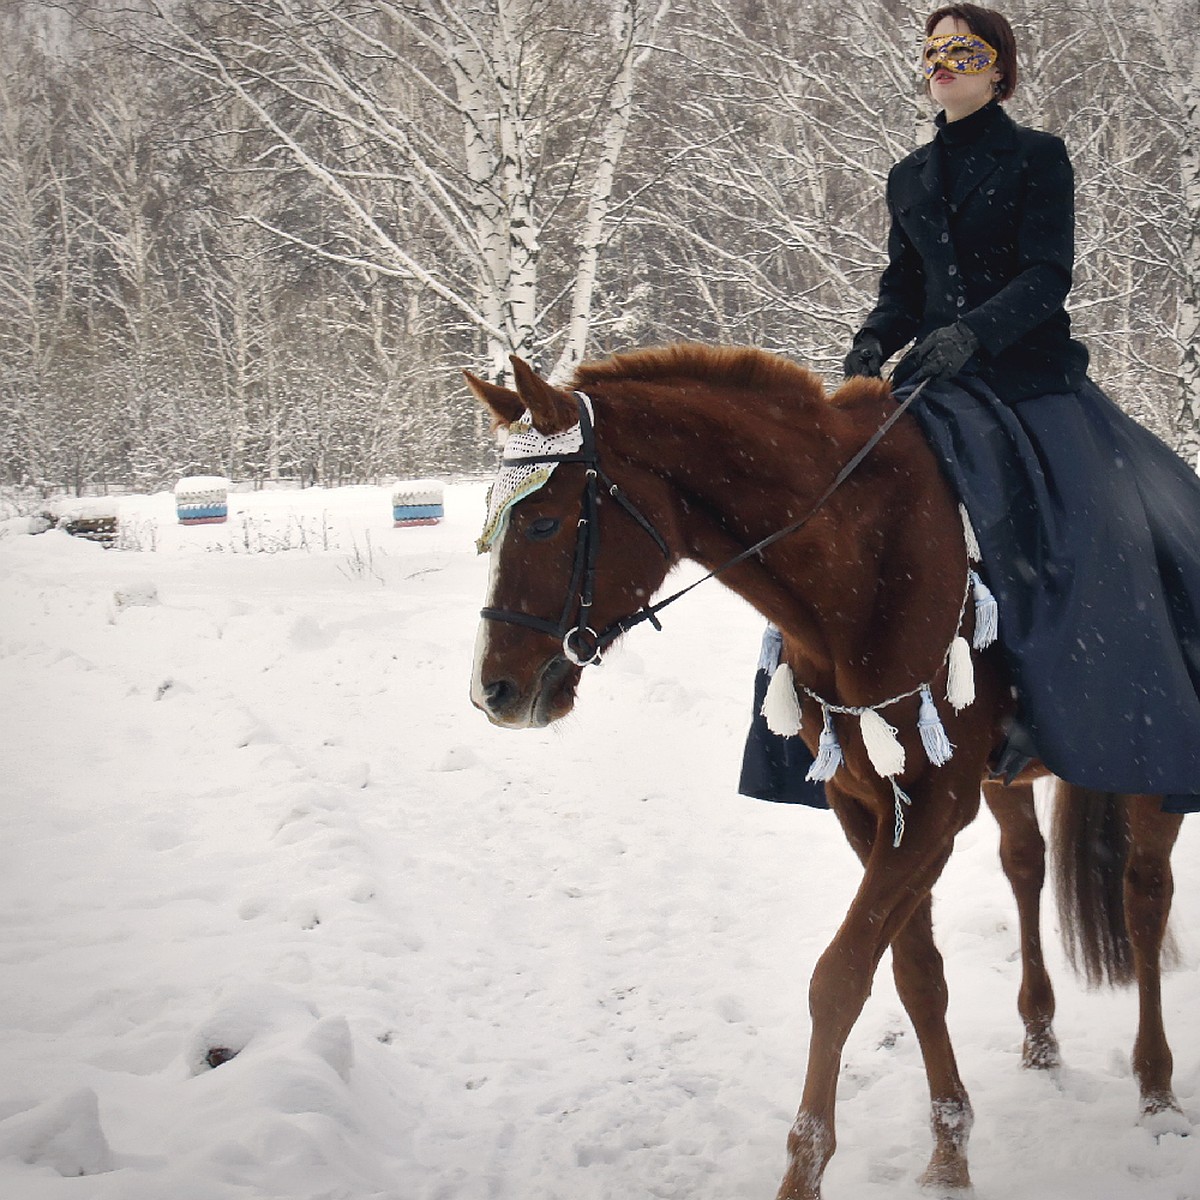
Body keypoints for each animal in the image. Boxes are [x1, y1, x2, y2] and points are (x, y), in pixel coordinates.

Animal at [460, 345, 1180, 1200]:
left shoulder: (936, 806)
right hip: (1006, 785)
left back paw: (1157, 1088)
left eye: (543, 520)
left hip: (1150, 770)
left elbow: (838, 978)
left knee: (1144, 899)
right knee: (1026, 865)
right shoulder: (863, 800)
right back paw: (1039, 1035)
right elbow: (913, 973)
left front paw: (804, 1172)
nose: (493, 692)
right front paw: (949, 1150)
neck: (858, 561)